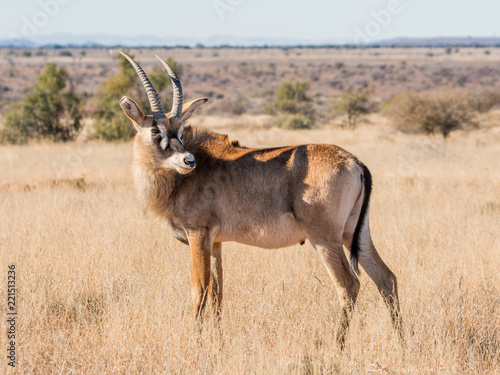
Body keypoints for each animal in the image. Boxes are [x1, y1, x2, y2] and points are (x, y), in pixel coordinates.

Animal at [119, 52, 404, 350]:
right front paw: (218, 343)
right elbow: (218, 293)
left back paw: (337, 347)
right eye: (156, 131)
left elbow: (200, 290)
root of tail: (355, 162)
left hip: (325, 238)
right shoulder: (216, 243)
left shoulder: (198, 235)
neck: (181, 179)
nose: (188, 161)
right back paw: (401, 343)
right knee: (386, 278)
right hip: (355, 234)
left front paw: (194, 344)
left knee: (348, 285)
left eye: (181, 130)